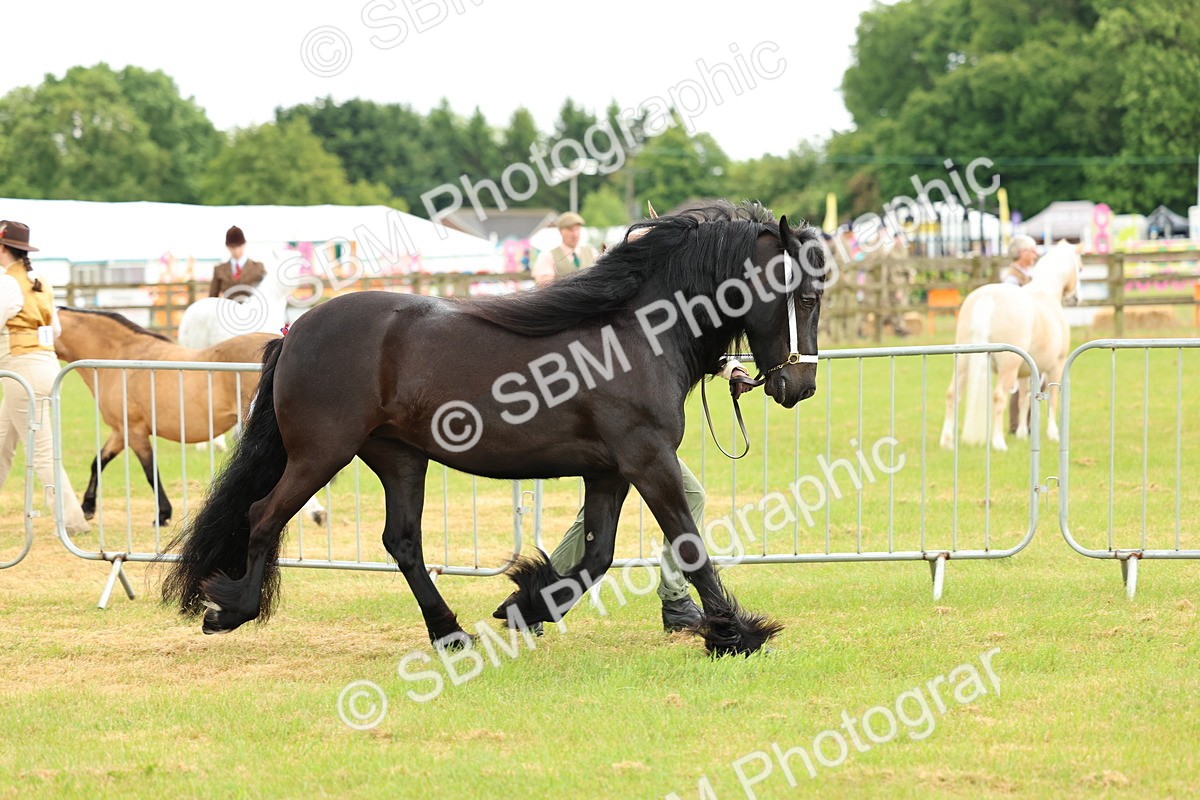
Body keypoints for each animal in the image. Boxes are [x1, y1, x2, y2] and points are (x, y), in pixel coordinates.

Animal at [55, 308, 278, 526]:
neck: (122, 355)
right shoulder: (120, 431)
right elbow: (98, 462)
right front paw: (87, 507)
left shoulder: (135, 431)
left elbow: (151, 472)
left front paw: (163, 514)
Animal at [163, 201, 827, 657]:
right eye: (805, 298)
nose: (800, 387)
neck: (636, 333)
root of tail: (295, 329)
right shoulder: (647, 459)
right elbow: (686, 543)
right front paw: (737, 633)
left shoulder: (610, 471)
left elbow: (597, 556)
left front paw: (523, 605)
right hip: (320, 454)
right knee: (263, 516)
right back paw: (230, 610)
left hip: (399, 458)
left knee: (403, 542)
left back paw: (450, 631)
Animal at [939, 240, 1081, 451]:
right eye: (1080, 267)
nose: (1076, 298)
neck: (1046, 294)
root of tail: (987, 297)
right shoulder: (1057, 364)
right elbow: (1054, 398)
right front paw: (1053, 434)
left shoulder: (1026, 370)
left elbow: (1024, 399)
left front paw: (1021, 434)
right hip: (1008, 367)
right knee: (998, 397)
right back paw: (998, 442)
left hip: (964, 363)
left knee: (952, 394)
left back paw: (947, 441)